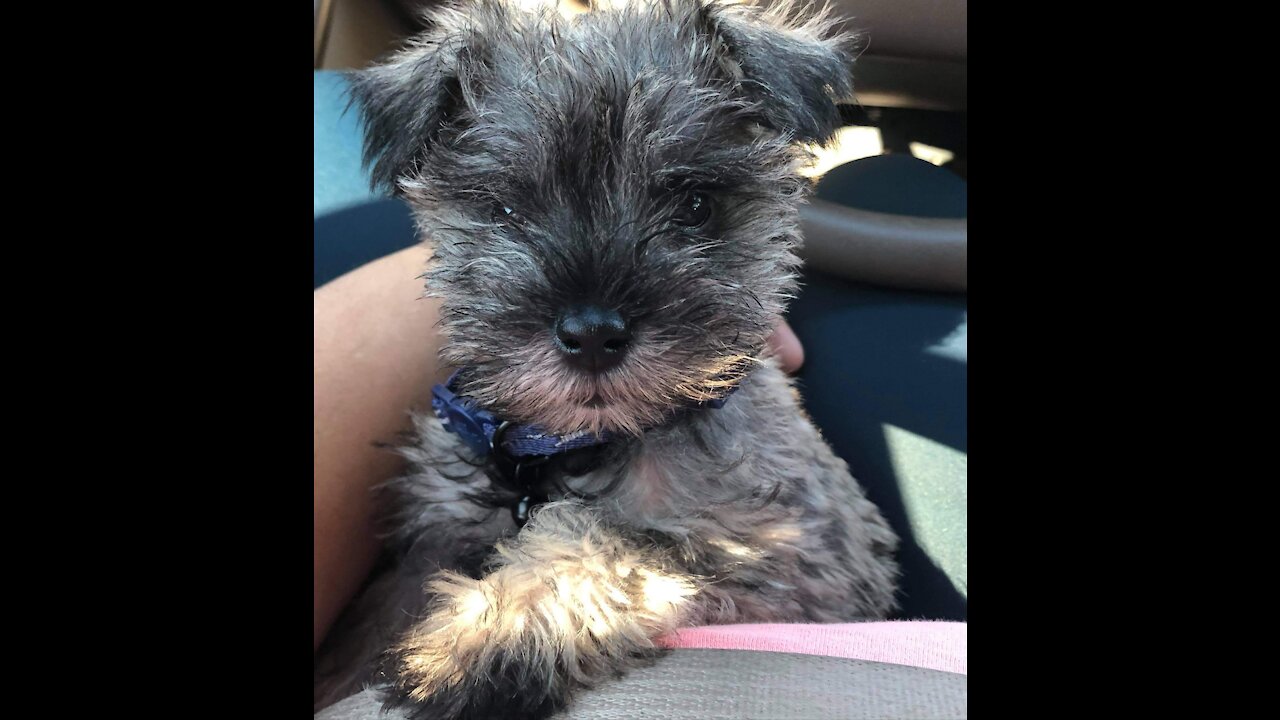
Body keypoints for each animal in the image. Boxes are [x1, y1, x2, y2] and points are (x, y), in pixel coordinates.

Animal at [317, 1, 901, 717]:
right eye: (504, 209)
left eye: (696, 205)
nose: (593, 334)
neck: (574, 448)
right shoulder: (429, 537)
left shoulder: (793, 564)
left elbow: (615, 541)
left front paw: (484, 637)